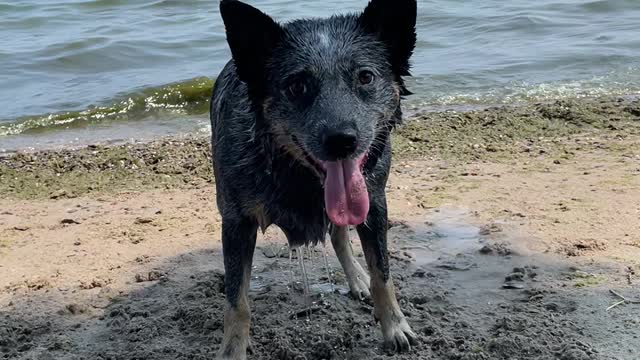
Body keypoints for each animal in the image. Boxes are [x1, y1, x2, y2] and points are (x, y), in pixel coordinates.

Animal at [210, 0, 418, 358]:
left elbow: (382, 273)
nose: (342, 140)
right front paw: (232, 350)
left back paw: (357, 279)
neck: (295, 174)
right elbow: (237, 300)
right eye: (297, 86)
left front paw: (394, 325)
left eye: (366, 77)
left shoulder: (375, 202)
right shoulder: (236, 222)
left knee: (339, 236)